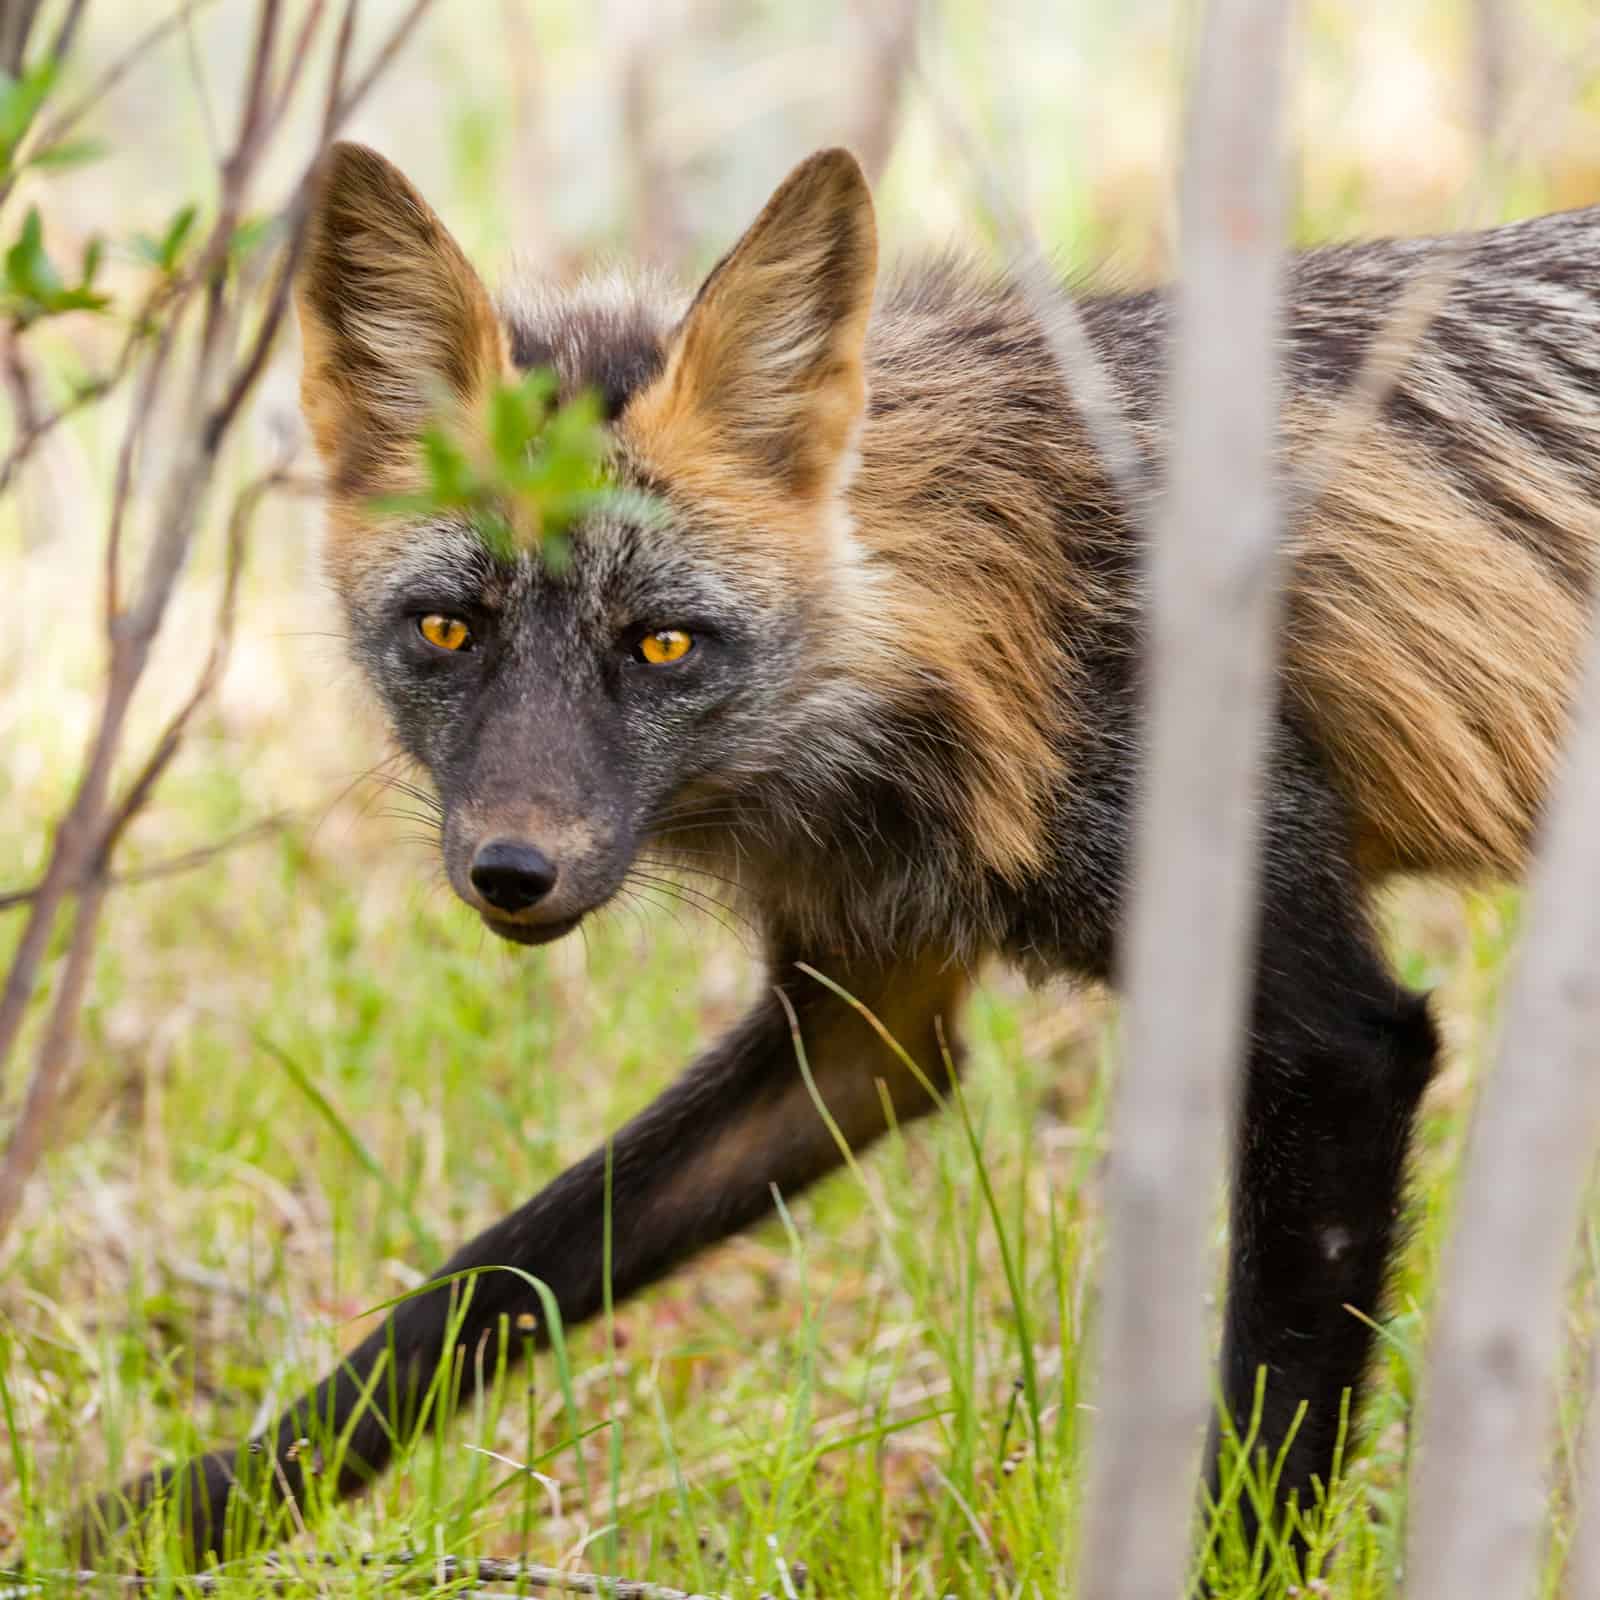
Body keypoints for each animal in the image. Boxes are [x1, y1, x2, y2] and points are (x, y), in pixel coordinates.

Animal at [82, 140, 1600, 1565]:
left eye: (663, 643)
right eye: (448, 629)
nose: (513, 872)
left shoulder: (1337, 1039)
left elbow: (1270, 1442)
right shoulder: (866, 1020)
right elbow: (490, 1280)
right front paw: (202, 1512)